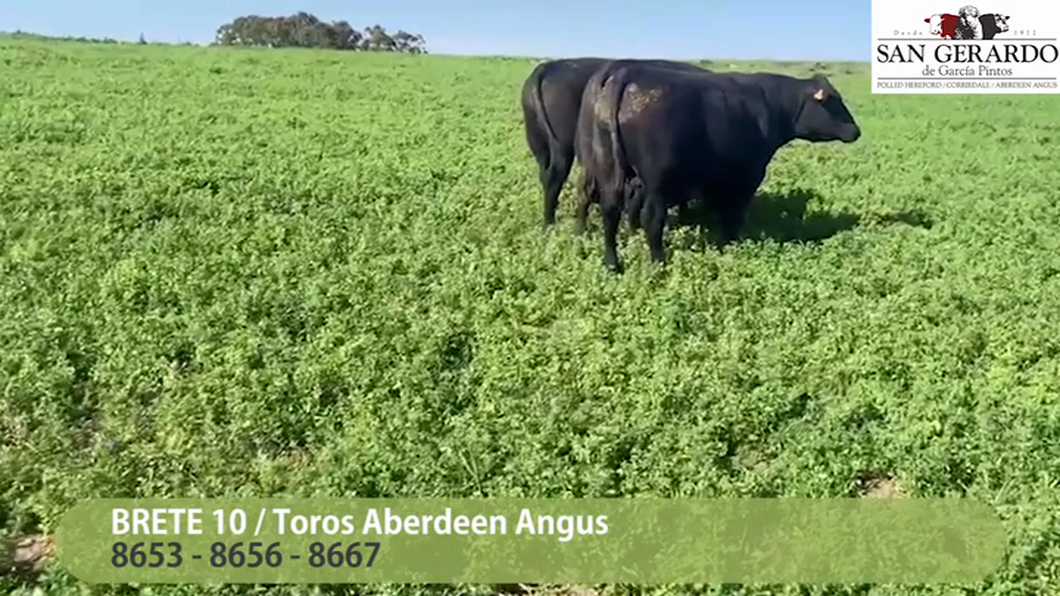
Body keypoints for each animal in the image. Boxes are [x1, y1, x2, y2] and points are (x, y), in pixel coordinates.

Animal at [517, 57, 708, 230]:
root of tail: (547, 67)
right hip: (562, 148)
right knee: (556, 177)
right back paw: (551, 223)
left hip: (543, 146)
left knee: (559, 179)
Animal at [580, 63, 860, 271]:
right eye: (834, 102)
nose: (855, 131)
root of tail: (629, 73)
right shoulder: (745, 177)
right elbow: (732, 212)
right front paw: (730, 242)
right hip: (658, 182)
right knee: (651, 219)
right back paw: (659, 262)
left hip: (609, 168)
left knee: (610, 210)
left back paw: (611, 264)